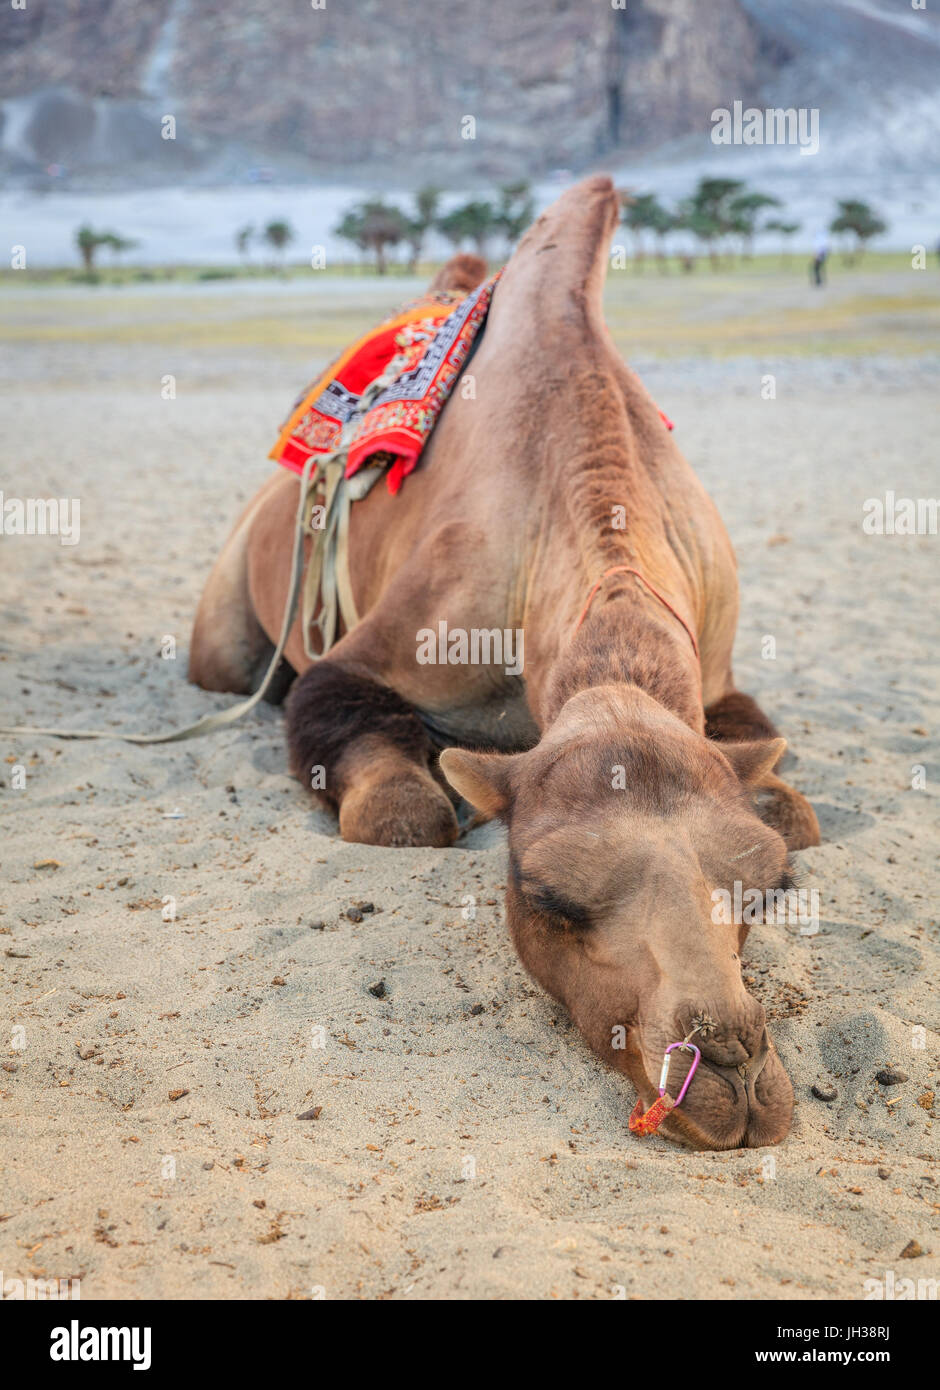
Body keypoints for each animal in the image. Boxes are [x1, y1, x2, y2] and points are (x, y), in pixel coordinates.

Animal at [189, 176, 817, 1150]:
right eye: (545, 897)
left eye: (764, 890)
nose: (731, 1077)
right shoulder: (388, 648)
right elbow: (400, 806)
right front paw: (432, 799)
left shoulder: (716, 680)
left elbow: (789, 802)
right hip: (226, 628)